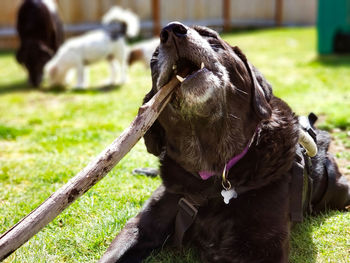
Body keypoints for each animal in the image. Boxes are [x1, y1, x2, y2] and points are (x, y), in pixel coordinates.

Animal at [99, 22, 350, 263]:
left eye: (210, 36)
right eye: (154, 59)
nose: (170, 31)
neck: (212, 170)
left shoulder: (263, 249)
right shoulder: (141, 227)